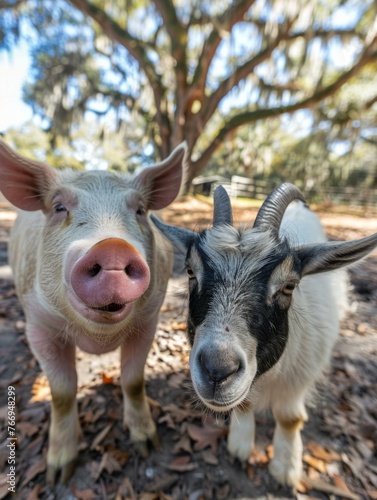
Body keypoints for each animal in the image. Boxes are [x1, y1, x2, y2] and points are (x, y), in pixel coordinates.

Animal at [0, 141, 186, 484]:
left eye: (140, 210)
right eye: (59, 207)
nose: (113, 247)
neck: (97, 339)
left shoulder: (149, 321)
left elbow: (133, 379)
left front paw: (147, 445)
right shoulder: (38, 325)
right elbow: (61, 392)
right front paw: (59, 474)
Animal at [152, 185, 376, 488]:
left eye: (289, 286)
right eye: (190, 272)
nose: (216, 371)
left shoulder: (300, 376)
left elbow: (290, 417)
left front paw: (285, 468)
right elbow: (245, 403)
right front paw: (241, 446)